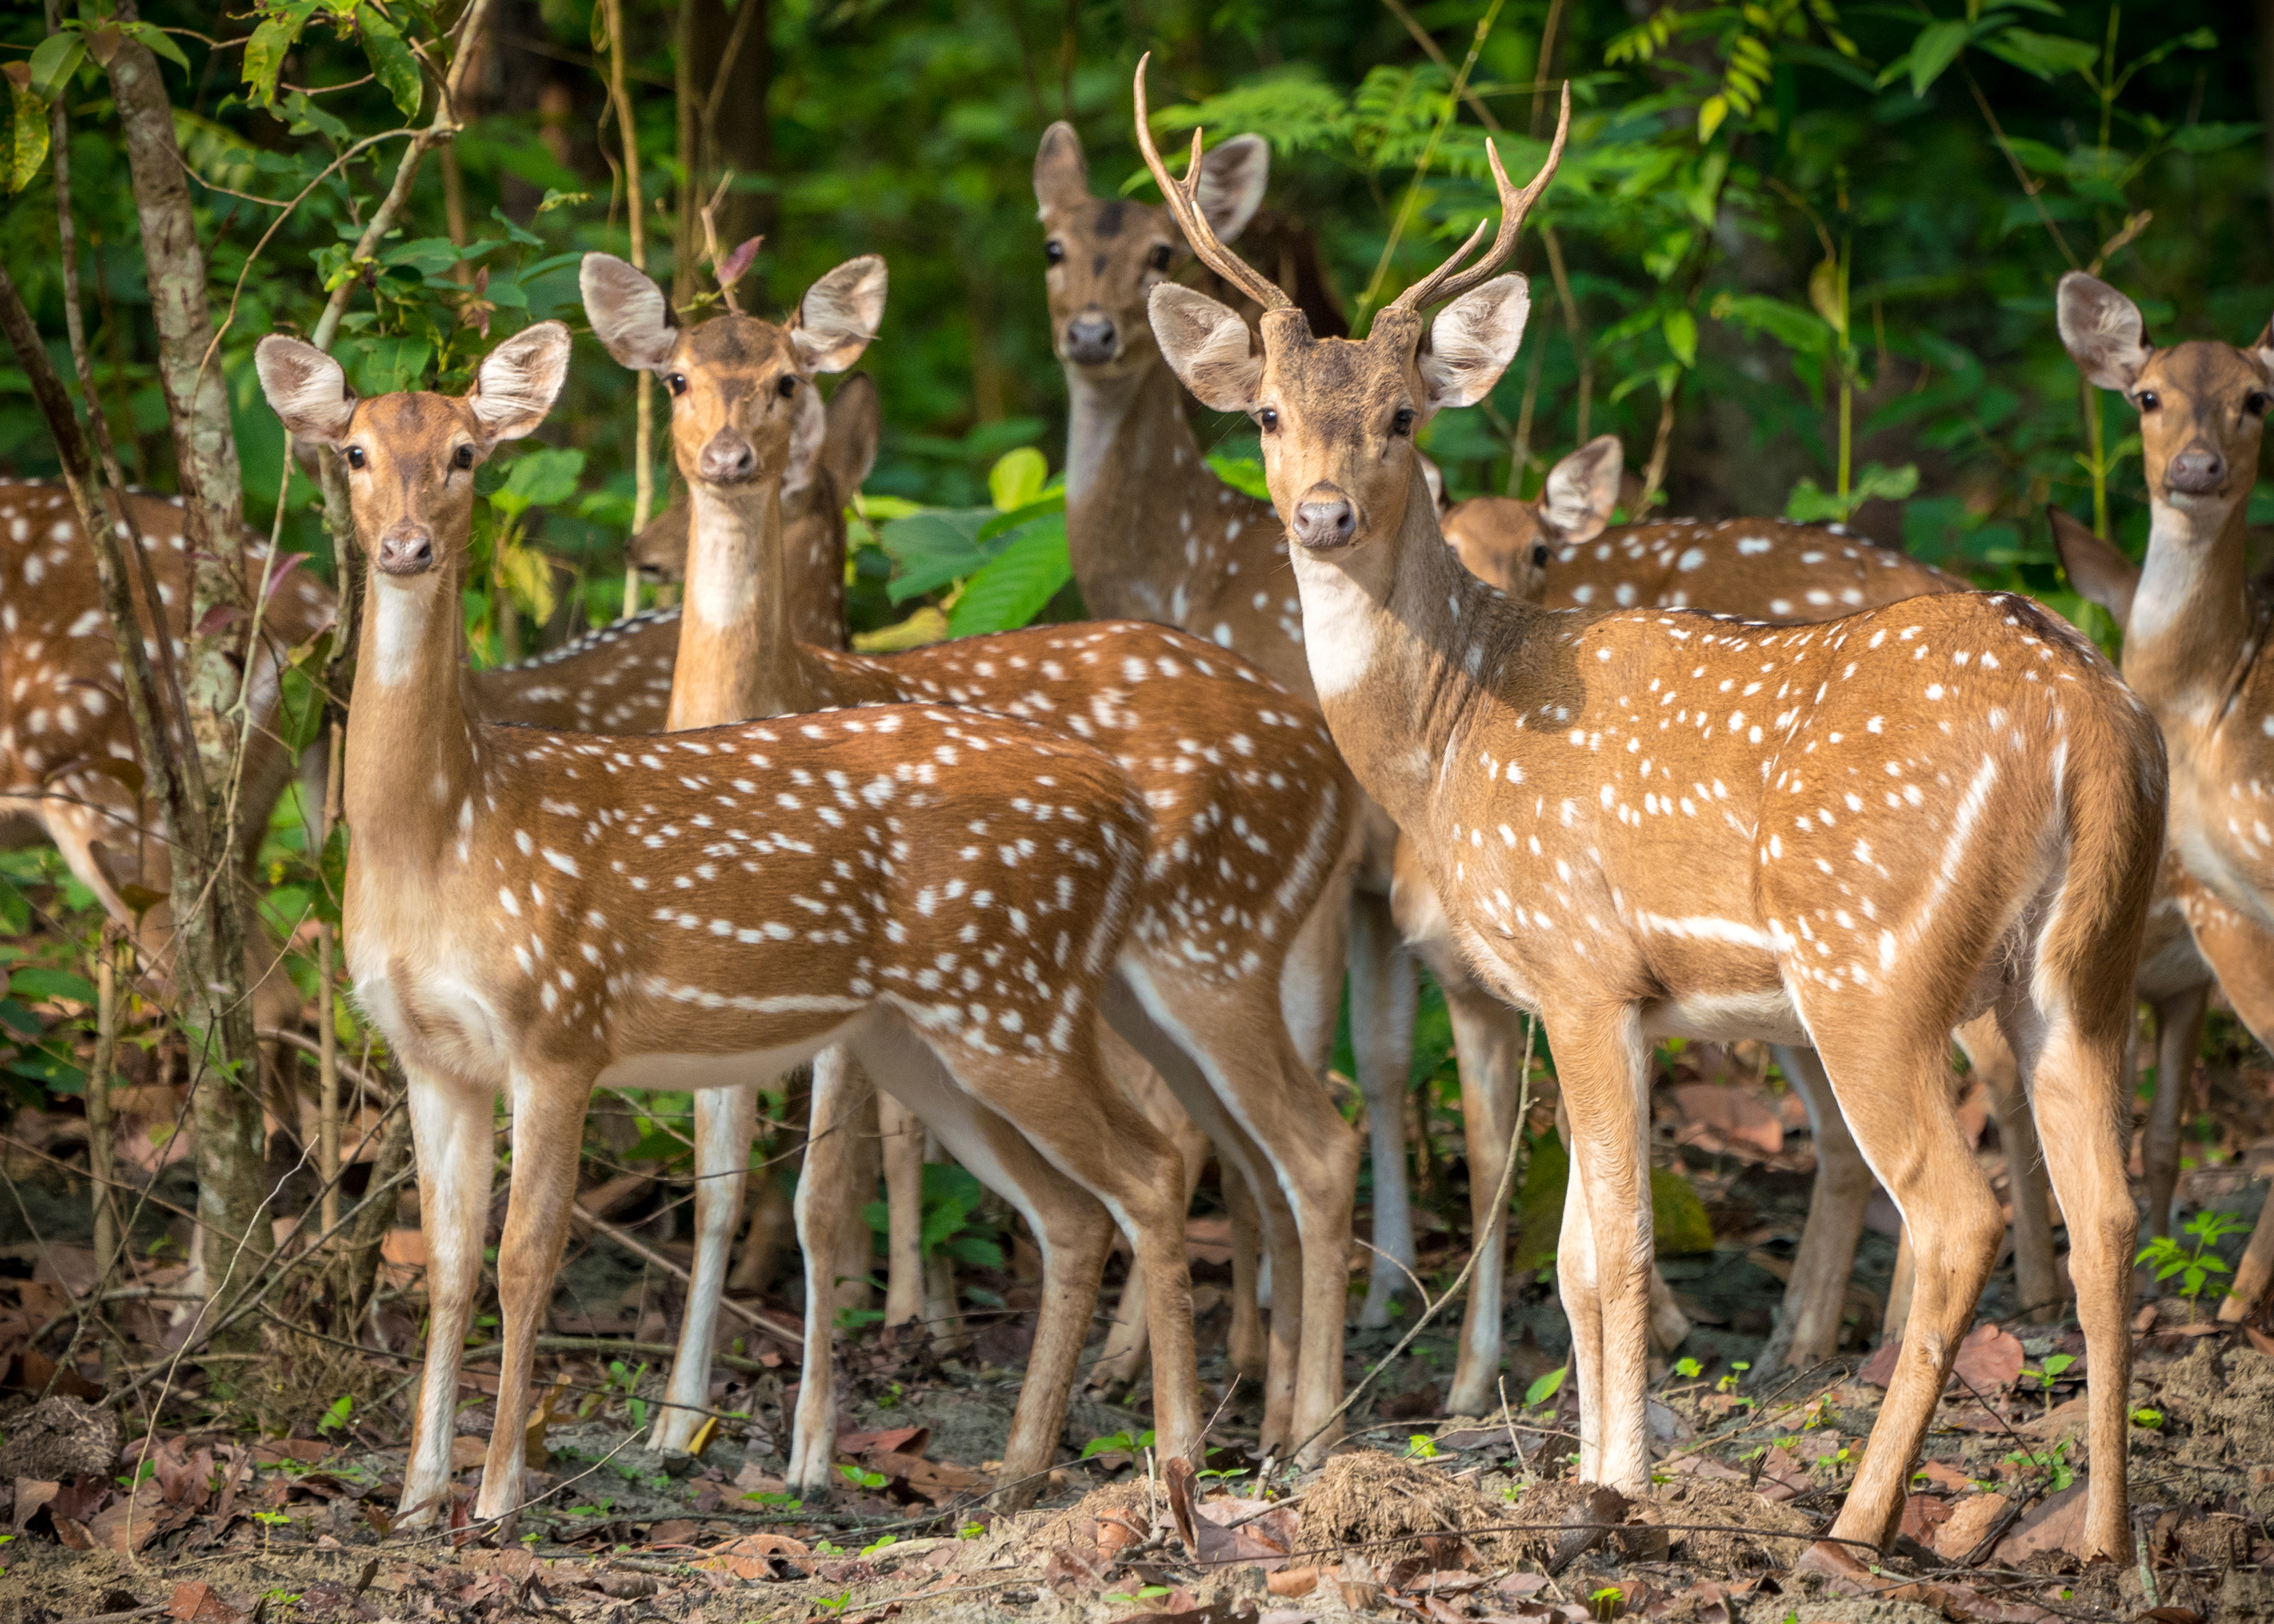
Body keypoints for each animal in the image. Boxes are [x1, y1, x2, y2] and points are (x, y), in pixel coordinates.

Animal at [253, 318, 1210, 1519]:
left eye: (469, 453)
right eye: (356, 452)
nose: (409, 546)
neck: (447, 828)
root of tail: (1123, 807)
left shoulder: (559, 1024)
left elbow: (527, 1256)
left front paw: (501, 1492)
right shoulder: (430, 1050)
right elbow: (448, 1260)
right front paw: (418, 1497)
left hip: (1009, 1000)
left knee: (1151, 1171)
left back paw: (1178, 1464)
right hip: (931, 1037)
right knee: (1074, 1211)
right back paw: (1018, 1471)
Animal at [586, 252, 1364, 1464]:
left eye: (786, 380)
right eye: (674, 378)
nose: (728, 459)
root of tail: (1330, 769)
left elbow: (821, 1190)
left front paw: (812, 1443)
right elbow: (717, 1186)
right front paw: (676, 1423)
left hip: (1208, 951)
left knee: (1292, 1146)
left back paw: (1291, 1430)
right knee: (1248, 1149)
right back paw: (1255, 1404)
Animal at [1146, 69, 2155, 1564]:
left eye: (1404, 416)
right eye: (1265, 414)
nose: (1322, 515)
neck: (1453, 729)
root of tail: (2087, 719)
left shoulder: (1576, 962)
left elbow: (1613, 1248)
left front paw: (1612, 1487)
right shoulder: (1604, 995)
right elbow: (1572, 1254)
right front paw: (1594, 1472)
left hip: (1874, 959)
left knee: (1951, 1212)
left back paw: (1856, 1518)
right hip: (2078, 966)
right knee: (2111, 1209)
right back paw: (2097, 1532)